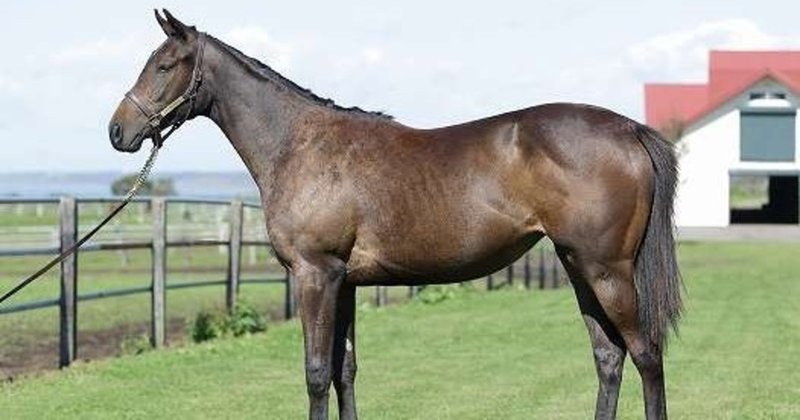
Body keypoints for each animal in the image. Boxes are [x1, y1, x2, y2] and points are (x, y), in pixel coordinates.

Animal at [109, 10, 682, 420]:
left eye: (163, 66)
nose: (117, 131)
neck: (300, 145)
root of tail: (629, 129)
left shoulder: (315, 274)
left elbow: (316, 372)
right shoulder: (343, 281)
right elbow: (344, 371)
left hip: (606, 270)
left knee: (646, 354)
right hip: (577, 265)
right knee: (609, 357)